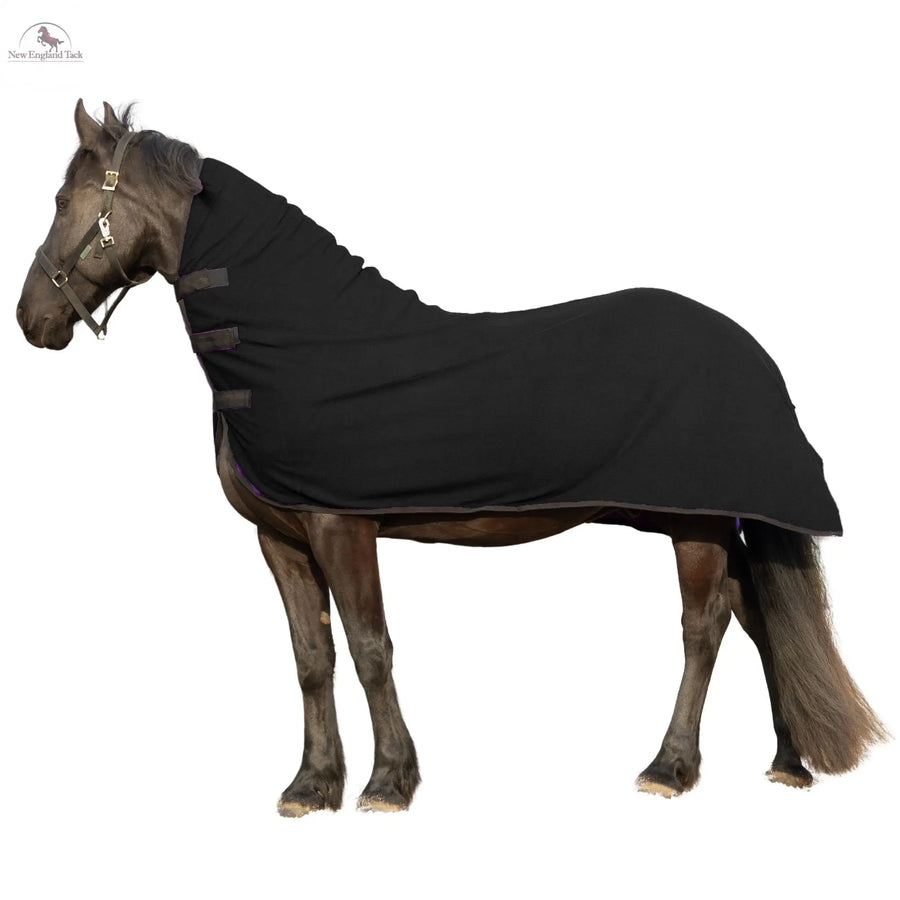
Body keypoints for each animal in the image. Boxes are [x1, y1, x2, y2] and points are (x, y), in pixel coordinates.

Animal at [16, 100, 886, 816]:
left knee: (705, 627)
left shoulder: (341, 526)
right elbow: (312, 658)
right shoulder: (280, 537)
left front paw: (388, 783)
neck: (297, 341)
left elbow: (370, 649)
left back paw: (669, 769)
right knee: (758, 615)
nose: (32, 319)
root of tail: (752, 352)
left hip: (694, 524)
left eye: (62, 202)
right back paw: (788, 762)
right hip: (693, 520)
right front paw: (311, 786)